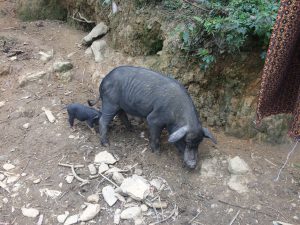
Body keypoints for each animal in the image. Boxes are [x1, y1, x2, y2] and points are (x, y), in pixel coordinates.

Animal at [88, 66, 217, 168]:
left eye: (199, 143)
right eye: (186, 141)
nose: (193, 165)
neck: (176, 116)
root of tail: (104, 80)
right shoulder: (154, 119)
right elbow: (155, 135)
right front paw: (157, 153)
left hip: (119, 104)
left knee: (121, 114)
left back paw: (131, 129)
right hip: (110, 102)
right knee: (103, 120)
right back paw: (106, 144)